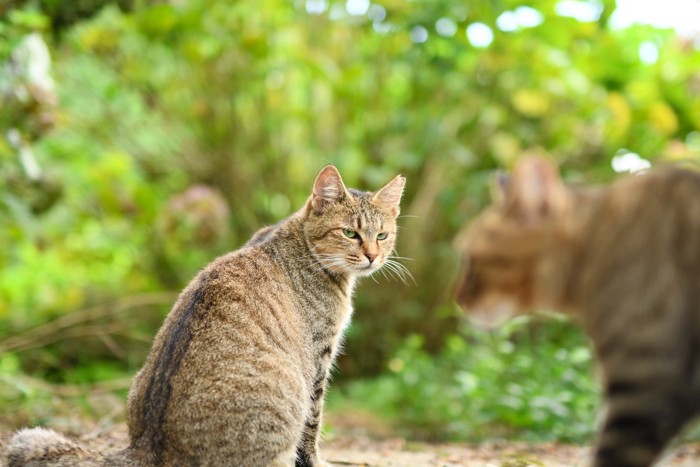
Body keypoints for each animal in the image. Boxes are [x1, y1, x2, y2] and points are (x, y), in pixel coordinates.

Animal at [8, 166, 408, 466]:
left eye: (382, 235)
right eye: (350, 233)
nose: (373, 256)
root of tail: (148, 448)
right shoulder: (318, 359)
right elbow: (313, 426)